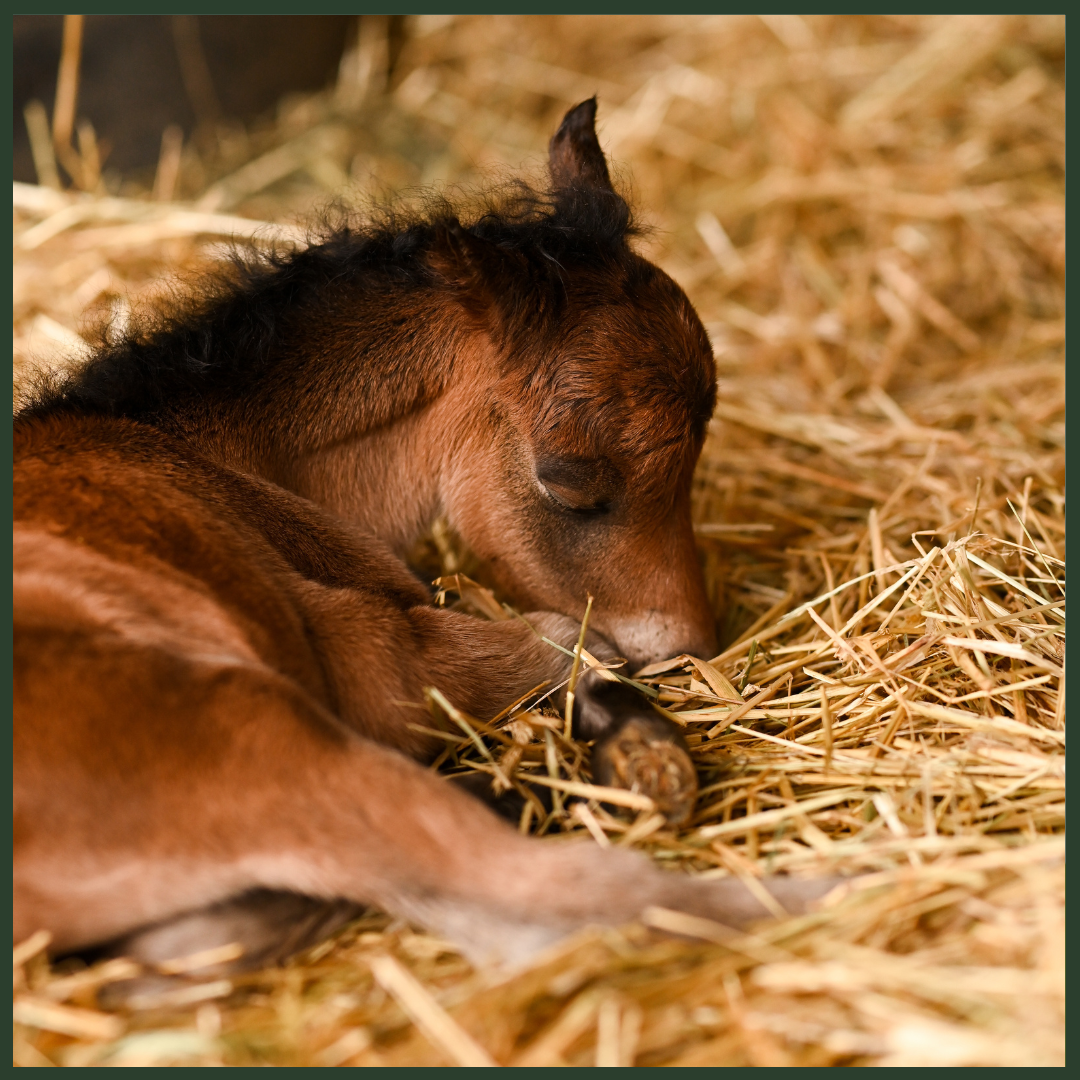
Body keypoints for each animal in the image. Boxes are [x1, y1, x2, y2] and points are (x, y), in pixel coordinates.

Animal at [14, 100, 835, 976]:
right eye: (569, 484)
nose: (689, 649)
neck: (201, 450)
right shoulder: (374, 658)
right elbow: (566, 642)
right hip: (265, 746)